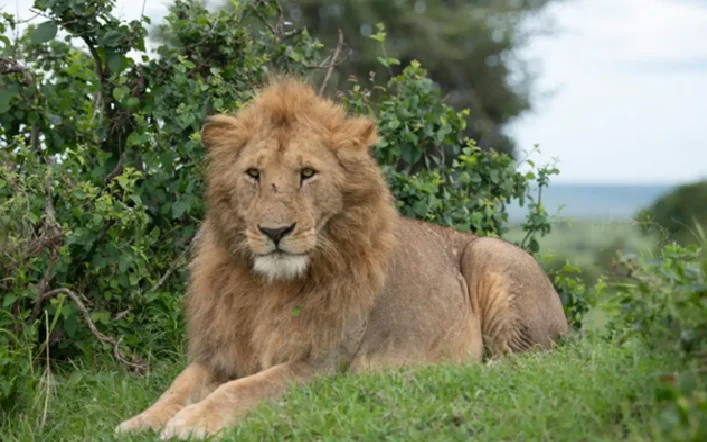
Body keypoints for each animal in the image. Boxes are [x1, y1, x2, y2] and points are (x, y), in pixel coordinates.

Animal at [115, 78, 568, 440]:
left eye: (307, 174)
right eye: (253, 175)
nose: (275, 232)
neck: (267, 287)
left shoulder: (321, 363)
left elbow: (243, 389)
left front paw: (193, 421)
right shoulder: (219, 352)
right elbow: (176, 387)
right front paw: (138, 422)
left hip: (489, 253)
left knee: (528, 361)